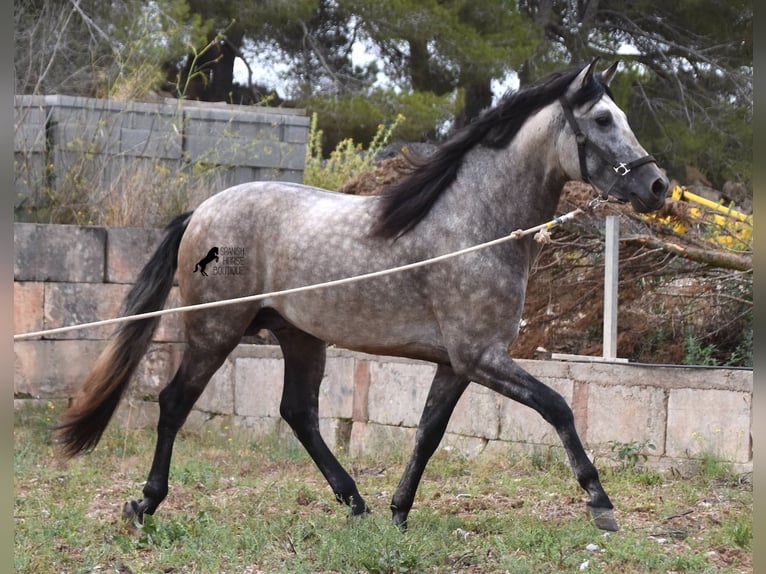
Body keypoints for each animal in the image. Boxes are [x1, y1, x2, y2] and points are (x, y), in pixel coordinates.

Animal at [57, 58, 668, 532]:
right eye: (603, 118)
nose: (657, 186)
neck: (475, 224)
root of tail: (200, 214)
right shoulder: (483, 357)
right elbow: (558, 407)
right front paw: (601, 503)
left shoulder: (457, 364)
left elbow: (428, 433)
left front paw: (399, 511)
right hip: (215, 331)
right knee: (174, 403)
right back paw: (145, 504)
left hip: (300, 337)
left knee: (298, 413)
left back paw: (355, 502)